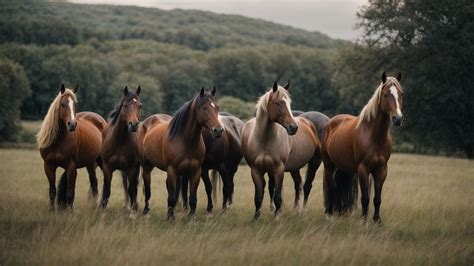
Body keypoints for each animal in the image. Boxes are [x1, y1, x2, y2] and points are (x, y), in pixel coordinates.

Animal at [100, 86, 143, 215]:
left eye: (140, 105)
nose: (133, 125)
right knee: (125, 185)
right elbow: (107, 190)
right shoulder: (107, 167)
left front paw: (133, 211)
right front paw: (102, 210)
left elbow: (132, 189)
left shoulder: (131, 168)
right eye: (125, 105)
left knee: (132, 186)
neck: (120, 140)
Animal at [140, 87, 223, 220]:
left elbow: (192, 198)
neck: (185, 140)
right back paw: (146, 212)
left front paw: (191, 217)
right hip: (147, 167)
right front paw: (170, 218)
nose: (218, 131)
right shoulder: (172, 170)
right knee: (147, 189)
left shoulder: (196, 171)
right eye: (204, 108)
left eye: (217, 107)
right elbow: (173, 197)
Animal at [241, 81, 322, 220]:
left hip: (314, 163)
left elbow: (278, 196)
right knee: (298, 184)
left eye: (289, 103)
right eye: (278, 103)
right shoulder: (256, 170)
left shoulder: (279, 169)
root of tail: (309, 124)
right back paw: (296, 209)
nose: (293, 127)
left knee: (307, 186)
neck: (264, 139)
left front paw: (277, 217)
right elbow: (258, 196)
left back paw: (303, 211)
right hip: (294, 168)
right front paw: (256, 217)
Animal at [324, 71, 406, 223]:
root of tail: (330, 122)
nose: (398, 119)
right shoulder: (363, 169)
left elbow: (377, 198)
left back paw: (338, 212)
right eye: (386, 94)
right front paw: (363, 220)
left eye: (401, 93)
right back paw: (330, 213)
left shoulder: (381, 169)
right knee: (331, 187)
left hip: (342, 167)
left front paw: (377, 220)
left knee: (337, 187)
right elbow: (365, 197)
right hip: (329, 165)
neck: (375, 136)